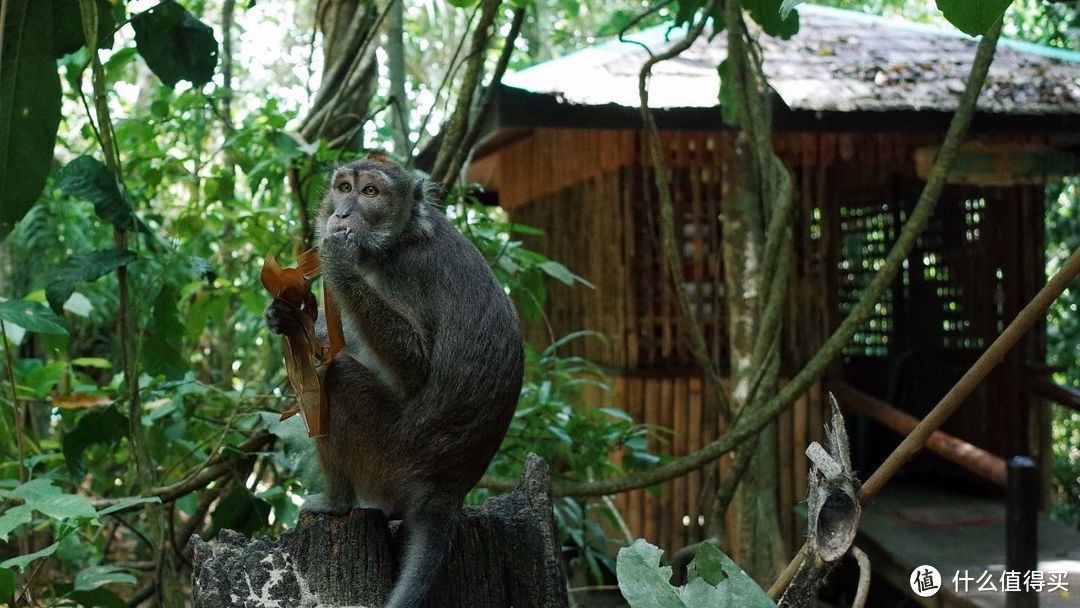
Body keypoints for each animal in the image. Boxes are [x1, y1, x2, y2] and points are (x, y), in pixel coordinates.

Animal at [265, 152, 527, 608]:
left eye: (370, 192)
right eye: (344, 187)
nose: (341, 213)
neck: (402, 238)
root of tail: (444, 492)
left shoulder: (405, 272)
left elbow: (414, 367)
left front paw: (338, 261)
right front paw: (286, 317)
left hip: (390, 455)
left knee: (338, 383)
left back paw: (336, 503)